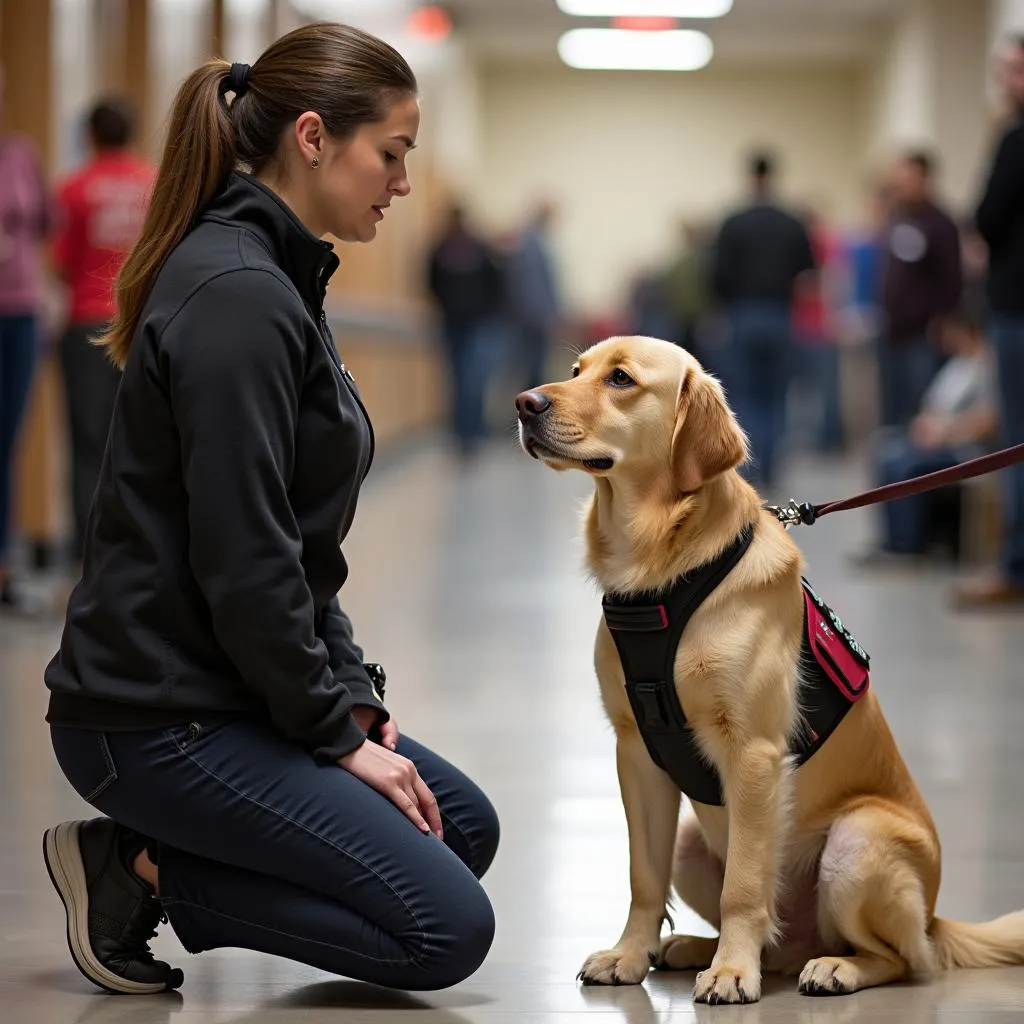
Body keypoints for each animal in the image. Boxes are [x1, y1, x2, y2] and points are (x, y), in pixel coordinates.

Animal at [516, 333, 1024, 999]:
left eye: (621, 379)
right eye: (577, 370)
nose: (525, 404)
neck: (660, 575)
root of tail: (937, 917)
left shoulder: (753, 754)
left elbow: (744, 887)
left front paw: (733, 972)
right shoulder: (635, 750)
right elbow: (643, 876)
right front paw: (629, 955)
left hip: (857, 841)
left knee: (904, 960)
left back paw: (832, 967)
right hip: (691, 842)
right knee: (781, 943)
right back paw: (690, 948)